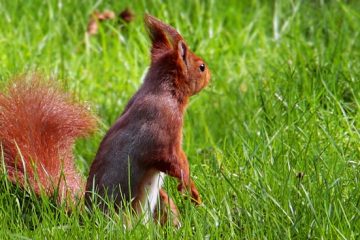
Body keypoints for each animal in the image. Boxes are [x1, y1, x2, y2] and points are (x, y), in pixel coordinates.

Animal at [0, 14, 210, 225]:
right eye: (201, 67)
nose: (210, 75)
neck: (163, 90)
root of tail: (86, 217)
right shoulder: (163, 127)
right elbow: (172, 160)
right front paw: (191, 188)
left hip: (159, 202)